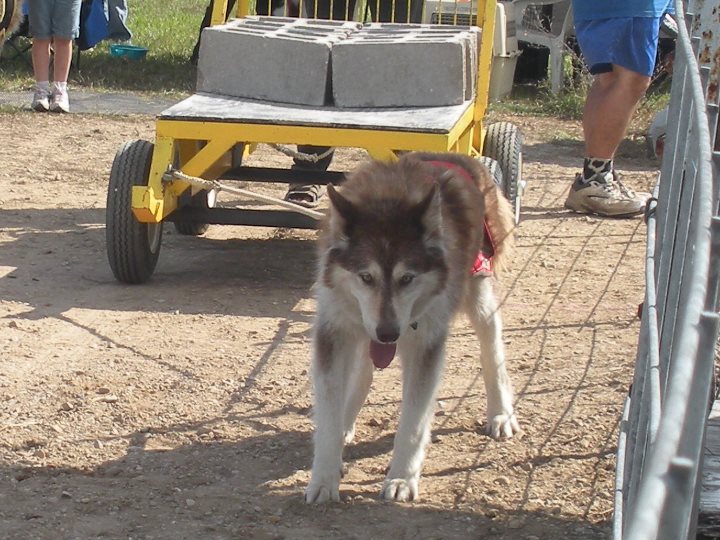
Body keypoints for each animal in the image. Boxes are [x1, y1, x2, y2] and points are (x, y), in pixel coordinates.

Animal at [306, 151, 520, 502]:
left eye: (407, 278)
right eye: (366, 277)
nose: (389, 333)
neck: (388, 198)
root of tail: (456, 156)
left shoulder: (425, 345)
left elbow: (414, 422)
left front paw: (402, 477)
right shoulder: (335, 330)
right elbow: (328, 415)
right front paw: (324, 476)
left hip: (479, 297)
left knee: (493, 353)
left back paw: (501, 413)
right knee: (363, 370)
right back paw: (347, 421)